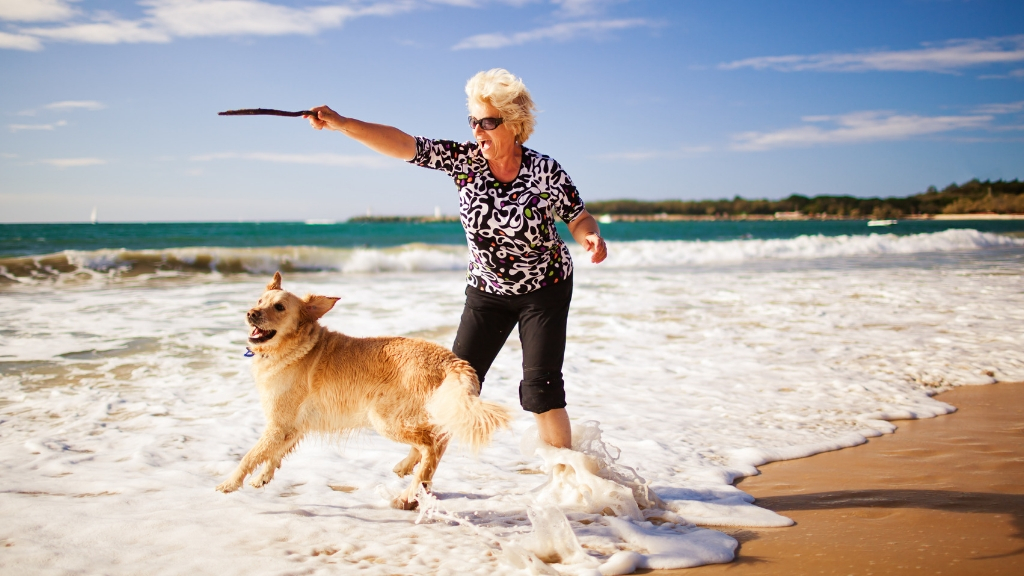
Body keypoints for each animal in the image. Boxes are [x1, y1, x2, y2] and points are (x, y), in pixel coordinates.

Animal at [216, 270, 512, 508]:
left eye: (279, 307)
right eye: (259, 301)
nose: (250, 314)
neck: (296, 347)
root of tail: (451, 359)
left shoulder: (278, 423)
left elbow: (250, 455)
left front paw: (230, 483)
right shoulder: (291, 426)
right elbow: (274, 454)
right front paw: (262, 478)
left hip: (384, 417)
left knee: (432, 446)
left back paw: (408, 494)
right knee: (437, 439)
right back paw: (406, 470)